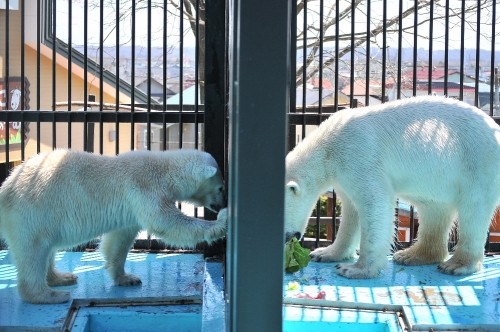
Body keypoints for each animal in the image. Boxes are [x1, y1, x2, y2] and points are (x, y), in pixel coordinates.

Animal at [0, 149, 227, 302]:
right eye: (221, 187)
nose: (223, 204)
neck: (164, 168)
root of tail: (6, 188)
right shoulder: (145, 187)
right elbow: (166, 222)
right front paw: (220, 224)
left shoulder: (130, 209)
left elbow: (119, 240)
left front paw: (127, 278)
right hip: (33, 212)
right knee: (34, 252)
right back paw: (51, 294)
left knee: (46, 249)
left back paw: (61, 277)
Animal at [286, 95, 500, 278]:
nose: (288, 238)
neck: (329, 146)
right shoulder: (345, 175)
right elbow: (351, 212)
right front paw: (324, 253)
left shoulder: (360, 156)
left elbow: (375, 204)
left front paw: (355, 269)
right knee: (435, 209)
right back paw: (411, 255)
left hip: (478, 163)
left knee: (473, 211)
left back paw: (456, 265)